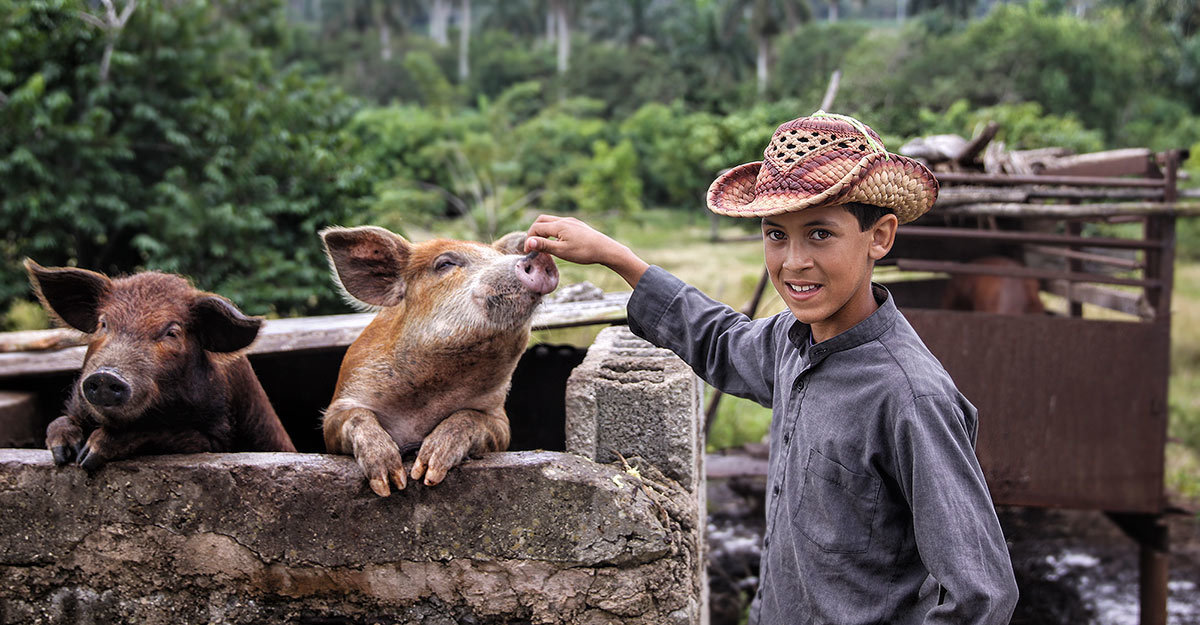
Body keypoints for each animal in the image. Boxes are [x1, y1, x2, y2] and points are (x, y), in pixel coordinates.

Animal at [27, 257, 294, 467]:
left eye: (172, 333)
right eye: (103, 323)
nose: (106, 375)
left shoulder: (216, 436)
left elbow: (159, 433)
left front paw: (86, 457)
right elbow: (57, 422)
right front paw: (63, 456)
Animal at [321, 226, 559, 494]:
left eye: (498, 256)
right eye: (445, 263)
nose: (539, 256)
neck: (430, 398)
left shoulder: (498, 419)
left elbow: (470, 417)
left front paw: (427, 473)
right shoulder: (341, 402)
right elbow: (355, 416)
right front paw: (391, 483)